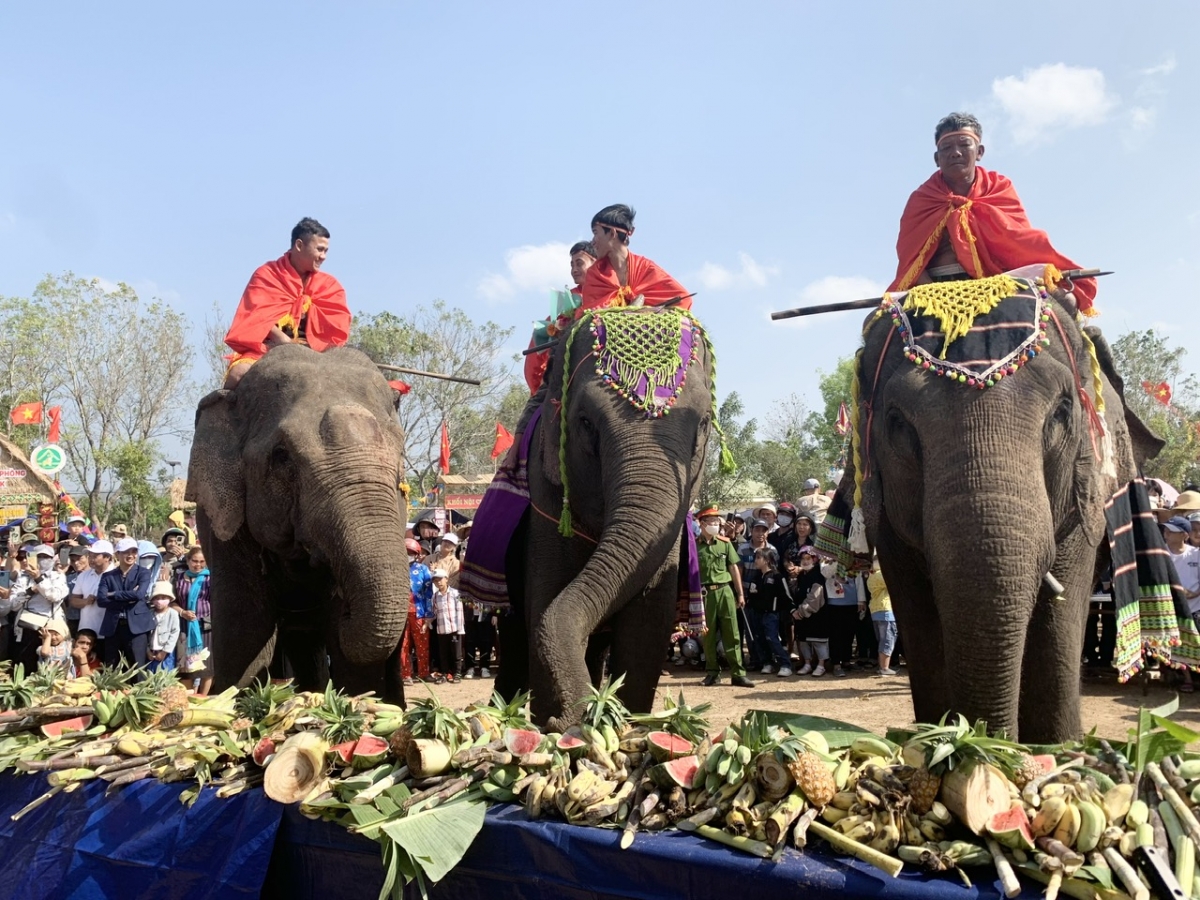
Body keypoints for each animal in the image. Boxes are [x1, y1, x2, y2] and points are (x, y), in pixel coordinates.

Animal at [184, 345, 410, 705]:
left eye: (401, 458)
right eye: (281, 456)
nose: (347, 607)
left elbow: (348, 658)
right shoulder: (229, 526)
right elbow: (246, 632)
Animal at [472, 307, 720, 729]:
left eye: (703, 423)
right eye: (586, 423)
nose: (565, 721)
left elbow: (646, 630)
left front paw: (631, 725)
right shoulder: (545, 504)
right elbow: (545, 608)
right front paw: (557, 725)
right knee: (517, 641)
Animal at [835, 278, 1161, 744]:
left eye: (1062, 412)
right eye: (897, 422)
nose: (983, 740)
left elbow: (1058, 617)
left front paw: (1059, 750)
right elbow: (919, 615)